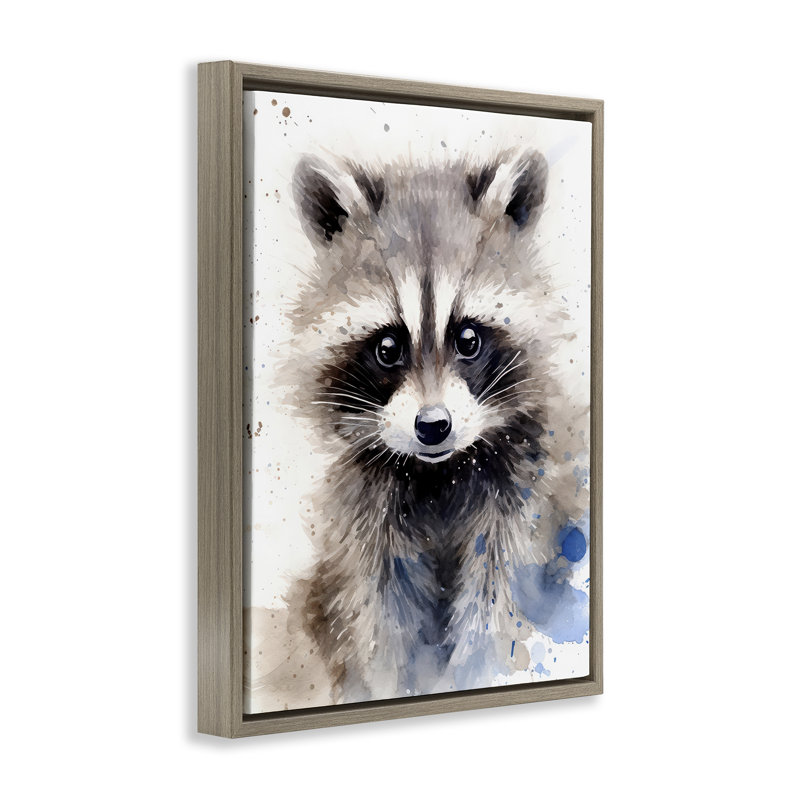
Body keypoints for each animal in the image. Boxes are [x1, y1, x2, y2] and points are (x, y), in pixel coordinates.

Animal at [283, 149, 589, 703]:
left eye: (468, 339)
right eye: (387, 347)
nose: (433, 426)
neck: (439, 475)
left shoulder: (526, 492)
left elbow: (500, 603)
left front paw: (476, 671)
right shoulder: (368, 517)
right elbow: (381, 618)